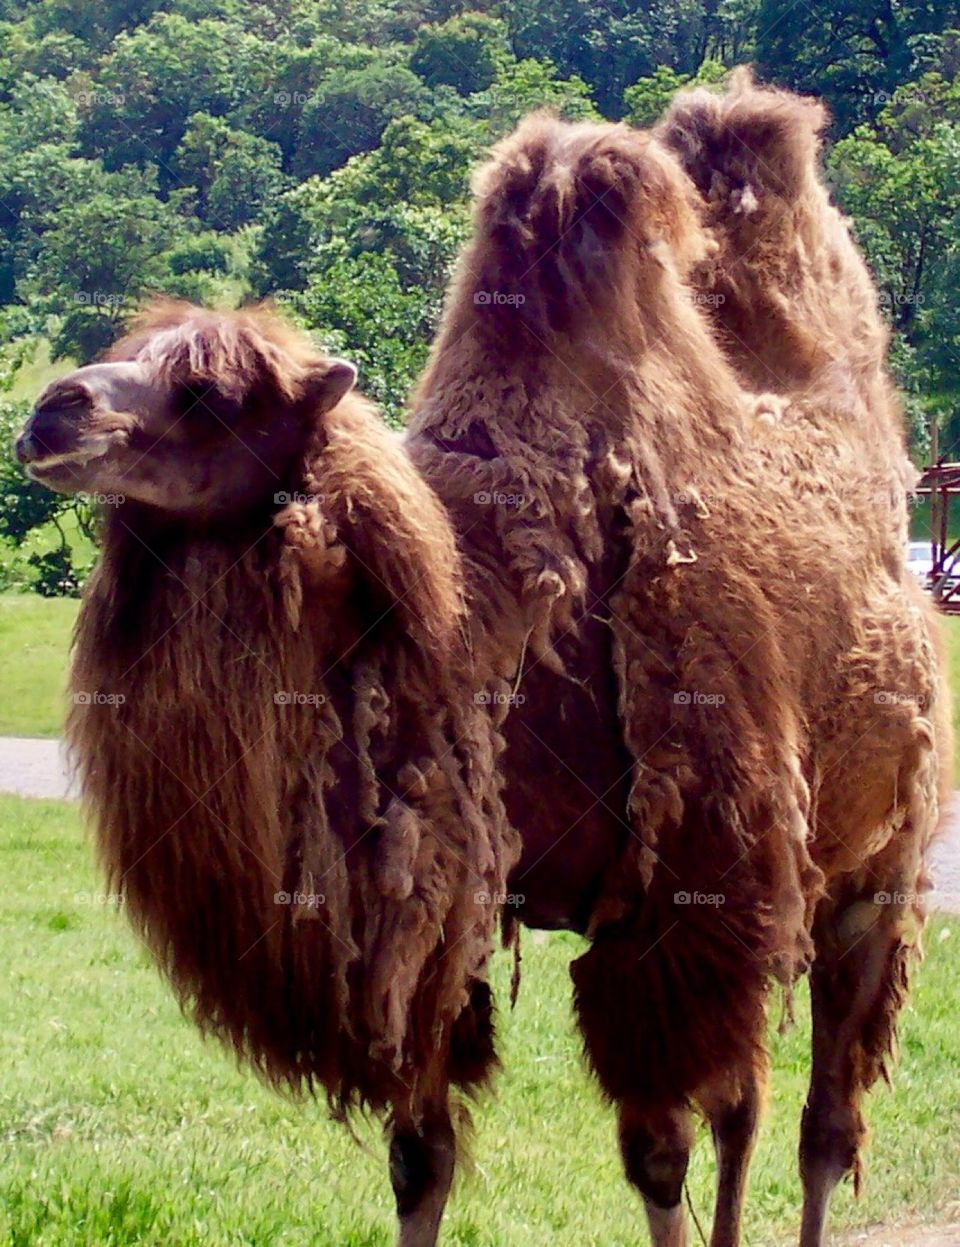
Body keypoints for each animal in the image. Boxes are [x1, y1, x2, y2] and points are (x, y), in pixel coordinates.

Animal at [16, 76, 948, 1247]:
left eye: (212, 395)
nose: (51, 411)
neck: (486, 628)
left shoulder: (688, 897)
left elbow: (676, 1137)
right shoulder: (430, 916)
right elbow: (430, 1156)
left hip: (878, 865)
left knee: (814, 1112)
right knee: (757, 1108)